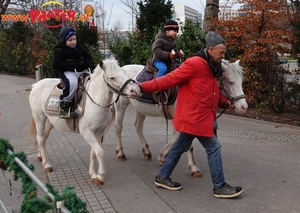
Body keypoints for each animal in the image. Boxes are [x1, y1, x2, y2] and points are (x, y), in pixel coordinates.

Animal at [28, 56, 141, 185]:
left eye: (124, 72)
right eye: (112, 77)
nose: (135, 90)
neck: (96, 101)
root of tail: (36, 84)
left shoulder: (99, 132)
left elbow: (93, 153)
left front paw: (93, 174)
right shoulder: (87, 132)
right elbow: (100, 152)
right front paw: (100, 176)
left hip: (50, 121)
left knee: (43, 137)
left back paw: (40, 156)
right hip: (40, 118)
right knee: (41, 139)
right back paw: (46, 165)